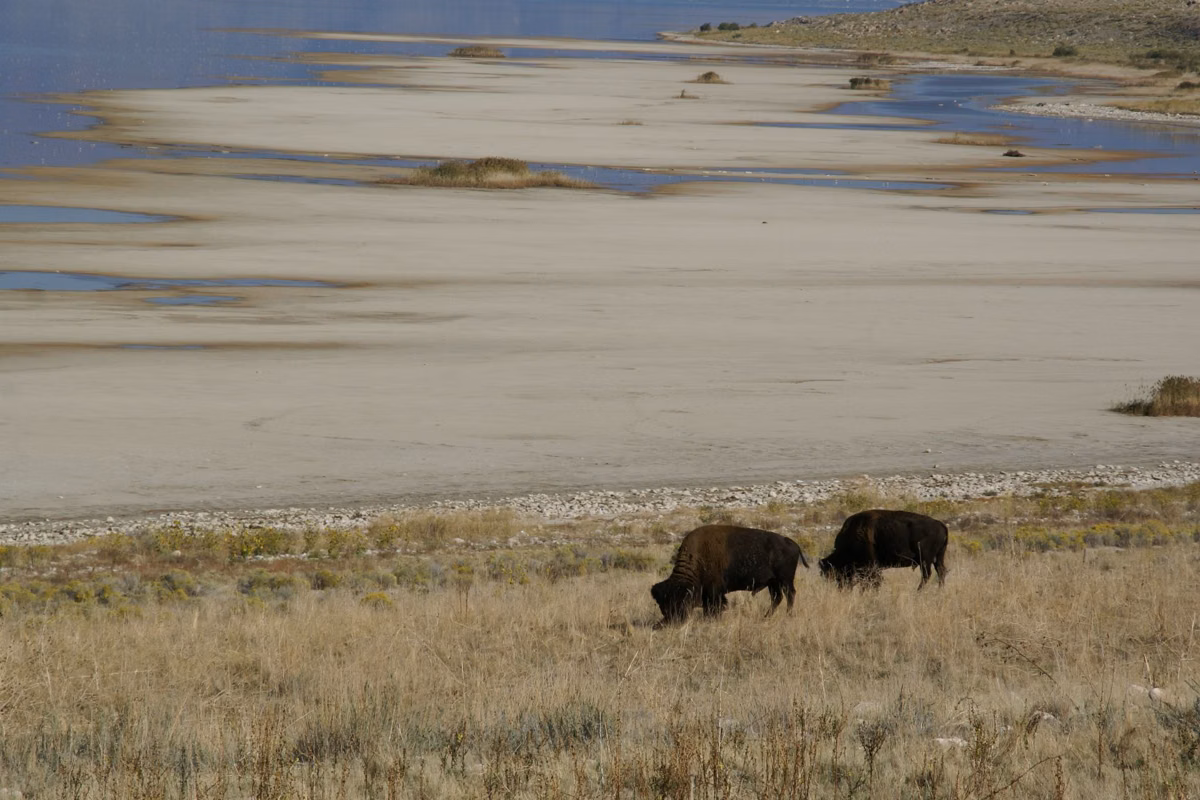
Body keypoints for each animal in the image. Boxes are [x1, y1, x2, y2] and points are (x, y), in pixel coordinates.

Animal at [651, 524, 809, 627]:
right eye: (662, 605)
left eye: (680, 602)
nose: (670, 622)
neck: (697, 558)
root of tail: (792, 543)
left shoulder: (714, 592)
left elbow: (714, 607)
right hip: (773, 582)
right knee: (777, 597)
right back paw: (766, 617)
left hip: (785, 580)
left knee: (790, 594)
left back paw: (787, 615)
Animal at [819, 509, 948, 590]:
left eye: (835, 572)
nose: (842, 588)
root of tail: (941, 524)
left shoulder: (870, 567)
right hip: (938, 557)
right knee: (940, 572)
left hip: (925, 560)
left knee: (927, 575)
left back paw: (918, 592)